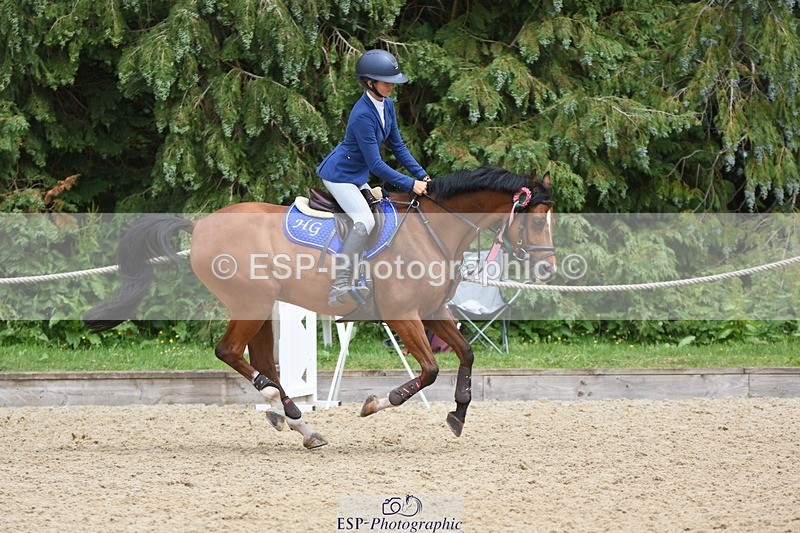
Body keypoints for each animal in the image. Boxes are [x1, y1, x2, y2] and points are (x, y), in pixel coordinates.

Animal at [83, 166, 556, 449]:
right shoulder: (403, 315)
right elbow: (428, 371)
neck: (431, 231)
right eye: (536, 220)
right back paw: (285, 409)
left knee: (260, 361)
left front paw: (457, 413)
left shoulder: (433, 312)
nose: (550, 268)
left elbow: (467, 353)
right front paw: (375, 403)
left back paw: (299, 423)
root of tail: (200, 225)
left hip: (260, 306)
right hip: (251, 302)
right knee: (230, 353)